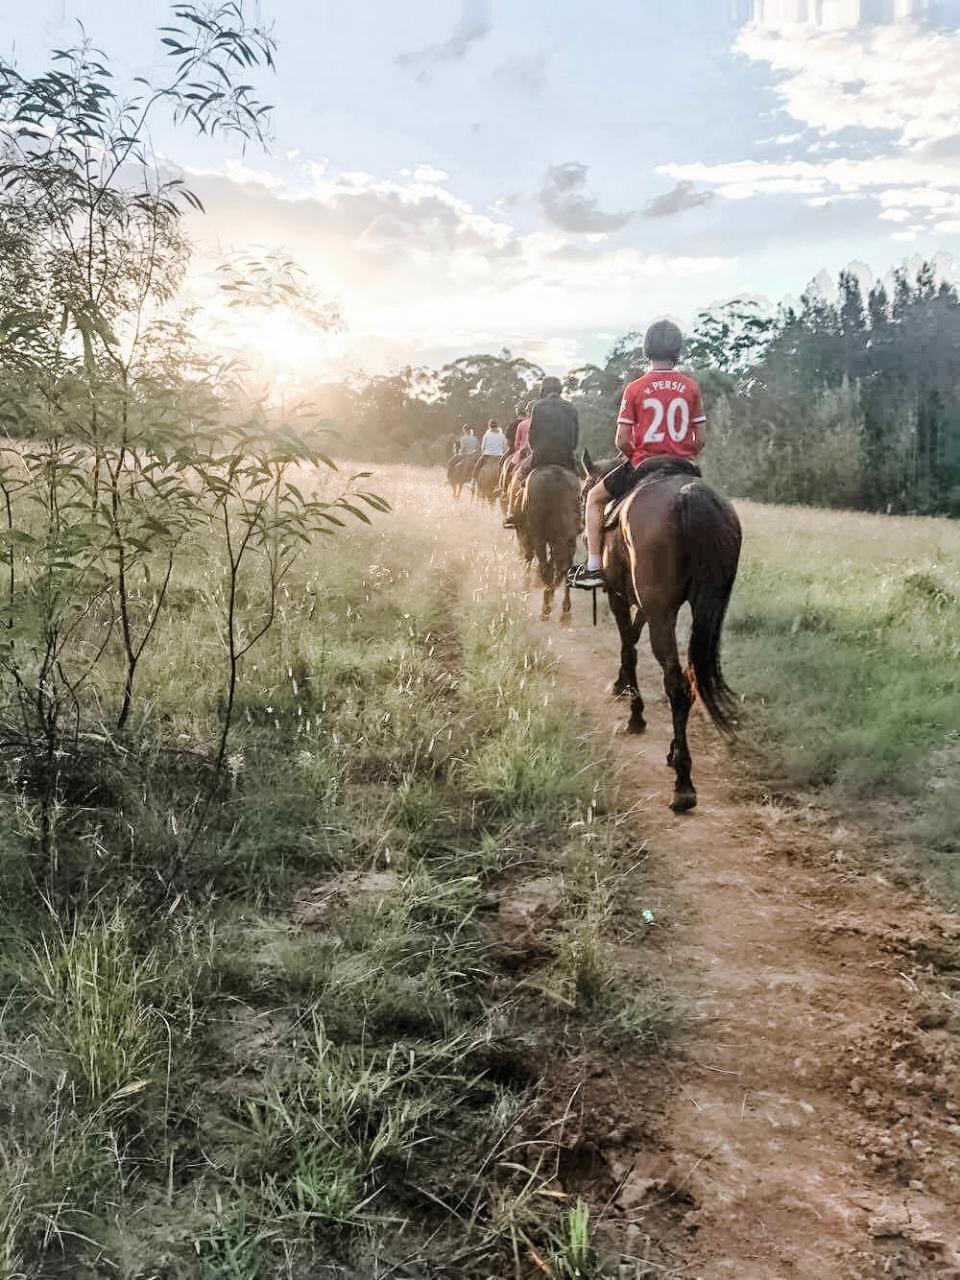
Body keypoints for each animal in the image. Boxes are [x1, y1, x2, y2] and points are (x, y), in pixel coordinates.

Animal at [519, 465, 578, 624]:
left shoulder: (532, 535)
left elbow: (531, 558)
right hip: (566, 538)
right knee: (563, 567)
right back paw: (561, 606)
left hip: (539, 536)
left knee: (546, 567)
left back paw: (547, 603)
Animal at [578, 450, 742, 808]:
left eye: (583, 493)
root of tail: (691, 498)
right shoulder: (648, 605)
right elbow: (633, 638)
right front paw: (622, 687)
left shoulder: (619, 596)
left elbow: (628, 645)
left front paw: (634, 713)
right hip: (698, 608)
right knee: (691, 678)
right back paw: (677, 758)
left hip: (657, 607)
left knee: (676, 684)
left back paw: (683, 784)